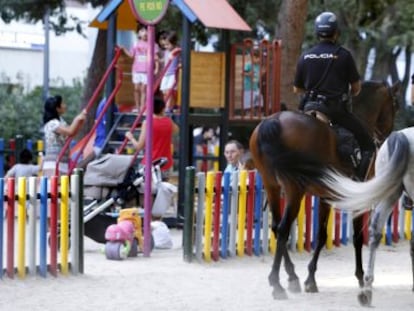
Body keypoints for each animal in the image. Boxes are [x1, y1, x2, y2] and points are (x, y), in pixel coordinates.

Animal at [249, 81, 402, 300]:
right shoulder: (359, 199)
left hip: (273, 186)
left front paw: (310, 279)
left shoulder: (326, 197)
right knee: (284, 229)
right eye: (395, 105)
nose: (387, 135)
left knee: (277, 227)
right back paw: (277, 283)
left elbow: (321, 235)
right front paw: (360, 277)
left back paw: (291, 277)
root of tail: (274, 121)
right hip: (294, 190)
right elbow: (357, 238)